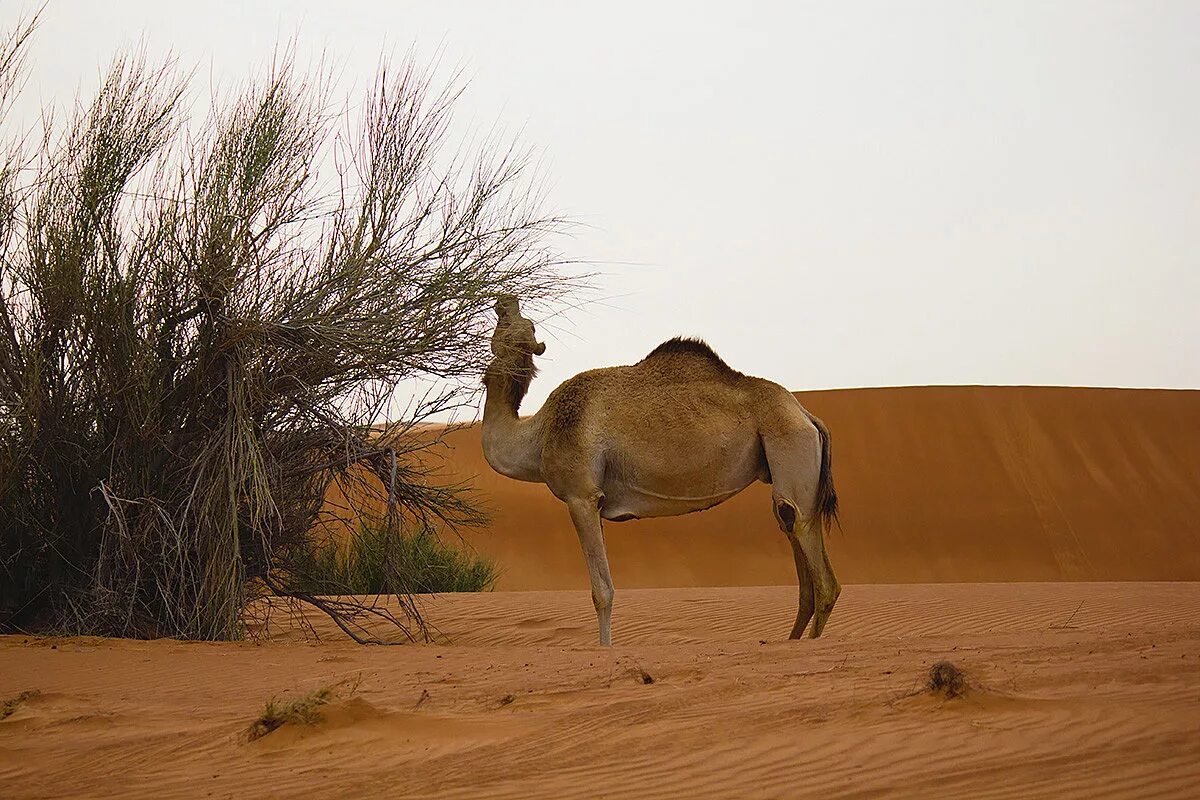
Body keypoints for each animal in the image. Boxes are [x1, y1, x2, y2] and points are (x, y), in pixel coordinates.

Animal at [482, 297, 840, 647]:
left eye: (515, 324)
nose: (502, 301)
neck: (538, 434)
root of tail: (807, 415)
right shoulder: (596, 501)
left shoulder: (580, 495)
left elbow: (602, 592)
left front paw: (605, 650)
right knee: (793, 536)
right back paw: (790, 641)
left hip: (791, 443)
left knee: (816, 561)